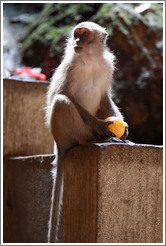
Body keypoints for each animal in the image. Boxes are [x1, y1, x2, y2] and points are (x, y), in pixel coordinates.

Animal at [45, 20, 128, 242]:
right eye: (76, 34)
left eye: (84, 35)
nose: (77, 41)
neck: (90, 59)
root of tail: (58, 145)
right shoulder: (70, 67)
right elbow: (61, 95)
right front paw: (100, 125)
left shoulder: (107, 66)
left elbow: (105, 97)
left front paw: (124, 128)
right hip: (65, 133)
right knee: (62, 102)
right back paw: (91, 138)